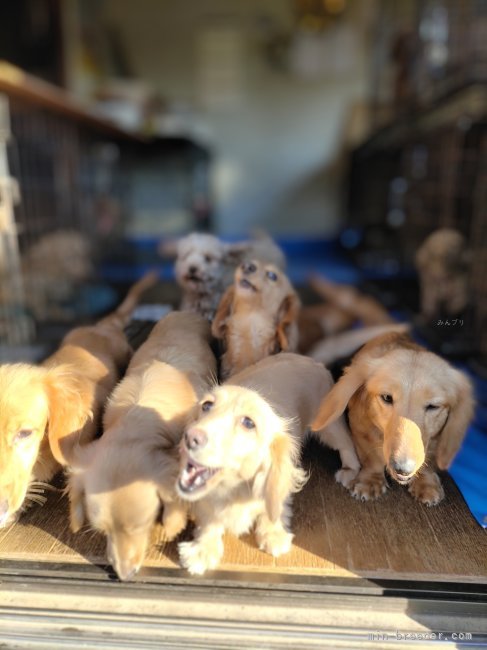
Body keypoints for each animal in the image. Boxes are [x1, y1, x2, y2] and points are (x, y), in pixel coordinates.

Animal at [175, 352, 358, 576]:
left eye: (248, 423)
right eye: (206, 406)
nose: (190, 437)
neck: (233, 489)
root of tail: (311, 360)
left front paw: (273, 534)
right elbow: (210, 519)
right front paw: (203, 550)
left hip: (328, 425)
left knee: (347, 444)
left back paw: (350, 470)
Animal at [310, 332, 474, 504]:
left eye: (433, 406)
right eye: (387, 398)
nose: (403, 470)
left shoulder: (435, 438)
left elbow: (429, 460)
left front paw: (426, 483)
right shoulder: (361, 430)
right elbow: (371, 458)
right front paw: (370, 481)